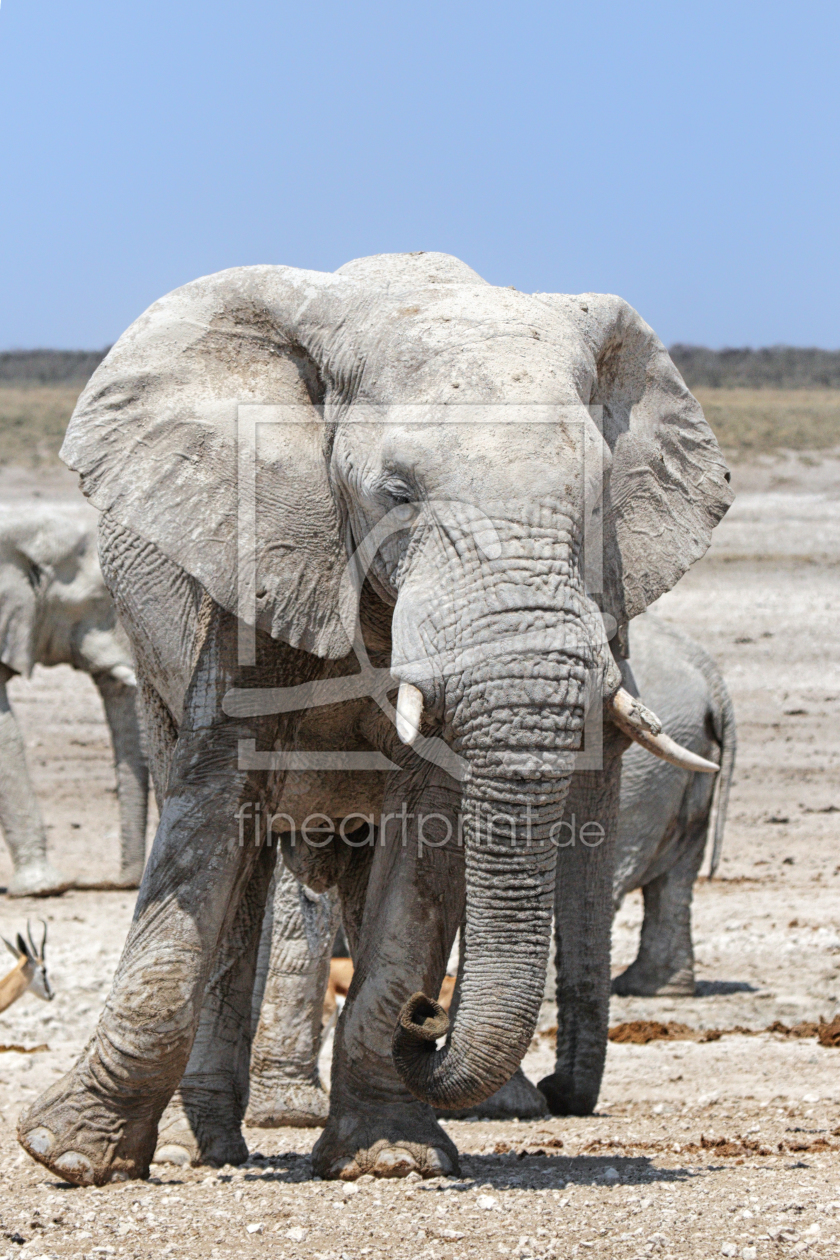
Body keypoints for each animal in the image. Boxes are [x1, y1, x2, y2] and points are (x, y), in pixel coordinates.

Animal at [16, 250, 730, 1184]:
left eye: (600, 497)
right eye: (396, 493)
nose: (429, 1017)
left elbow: (426, 843)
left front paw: (392, 1157)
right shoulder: (264, 554)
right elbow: (215, 810)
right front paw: (68, 1155)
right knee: (239, 866)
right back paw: (200, 1146)